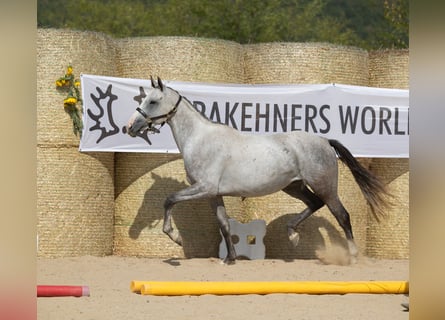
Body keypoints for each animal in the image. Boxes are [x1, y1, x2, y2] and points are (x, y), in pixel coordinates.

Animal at [125, 76, 388, 264]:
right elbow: (224, 224)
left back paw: (352, 256)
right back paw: (292, 235)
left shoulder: (203, 188)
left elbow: (170, 200)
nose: (130, 127)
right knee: (314, 204)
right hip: (294, 186)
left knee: (341, 215)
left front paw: (176, 237)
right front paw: (230, 259)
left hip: (325, 186)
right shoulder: (213, 194)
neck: (200, 139)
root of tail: (325, 140)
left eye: (152, 101)